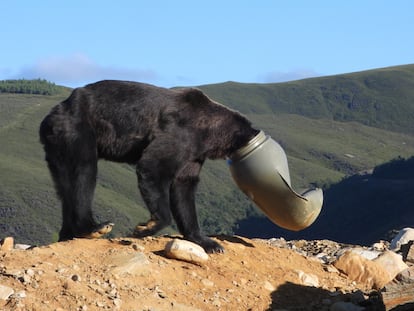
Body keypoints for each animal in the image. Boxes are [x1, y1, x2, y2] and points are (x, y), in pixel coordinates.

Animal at [39, 80, 258, 254]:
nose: (257, 133)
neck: (208, 132)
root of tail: (53, 113)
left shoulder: (193, 156)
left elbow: (184, 189)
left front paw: (209, 242)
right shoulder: (181, 134)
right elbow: (153, 167)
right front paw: (145, 227)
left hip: (58, 146)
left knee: (65, 186)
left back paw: (68, 233)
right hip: (77, 131)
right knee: (84, 173)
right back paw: (93, 227)